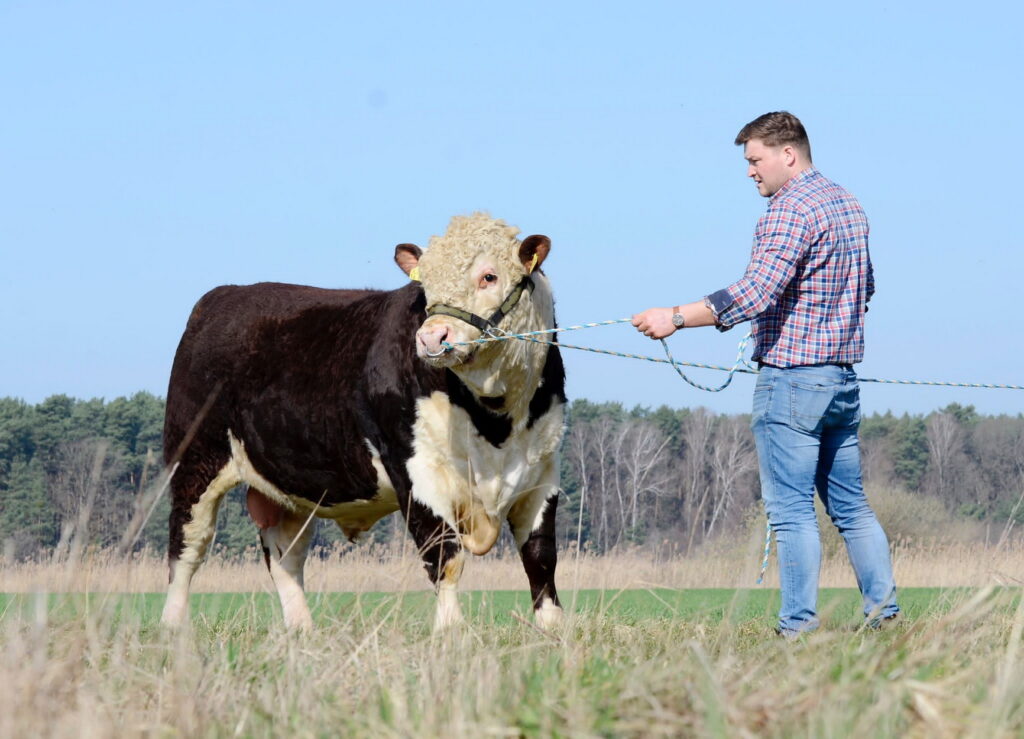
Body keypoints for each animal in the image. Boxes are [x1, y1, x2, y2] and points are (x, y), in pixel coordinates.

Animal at [157, 211, 569, 626]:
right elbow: (444, 557)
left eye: (489, 276)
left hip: (290, 486)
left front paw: (551, 629)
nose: (431, 339)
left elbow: (541, 559)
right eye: (425, 286)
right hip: (194, 460)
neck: (497, 419)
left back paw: (302, 630)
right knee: (185, 549)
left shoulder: (542, 474)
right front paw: (451, 630)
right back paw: (173, 627)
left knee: (285, 556)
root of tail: (222, 296)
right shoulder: (416, 472)